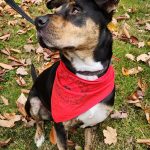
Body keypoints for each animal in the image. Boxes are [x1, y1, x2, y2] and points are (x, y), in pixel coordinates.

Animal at [24, 0, 119, 149]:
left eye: (76, 10)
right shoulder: (60, 128)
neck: (85, 73)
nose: (37, 21)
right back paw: (39, 136)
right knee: (38, 121)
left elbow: (88, 144)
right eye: (55, 11)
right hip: (33, 102)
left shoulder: (92, 124)